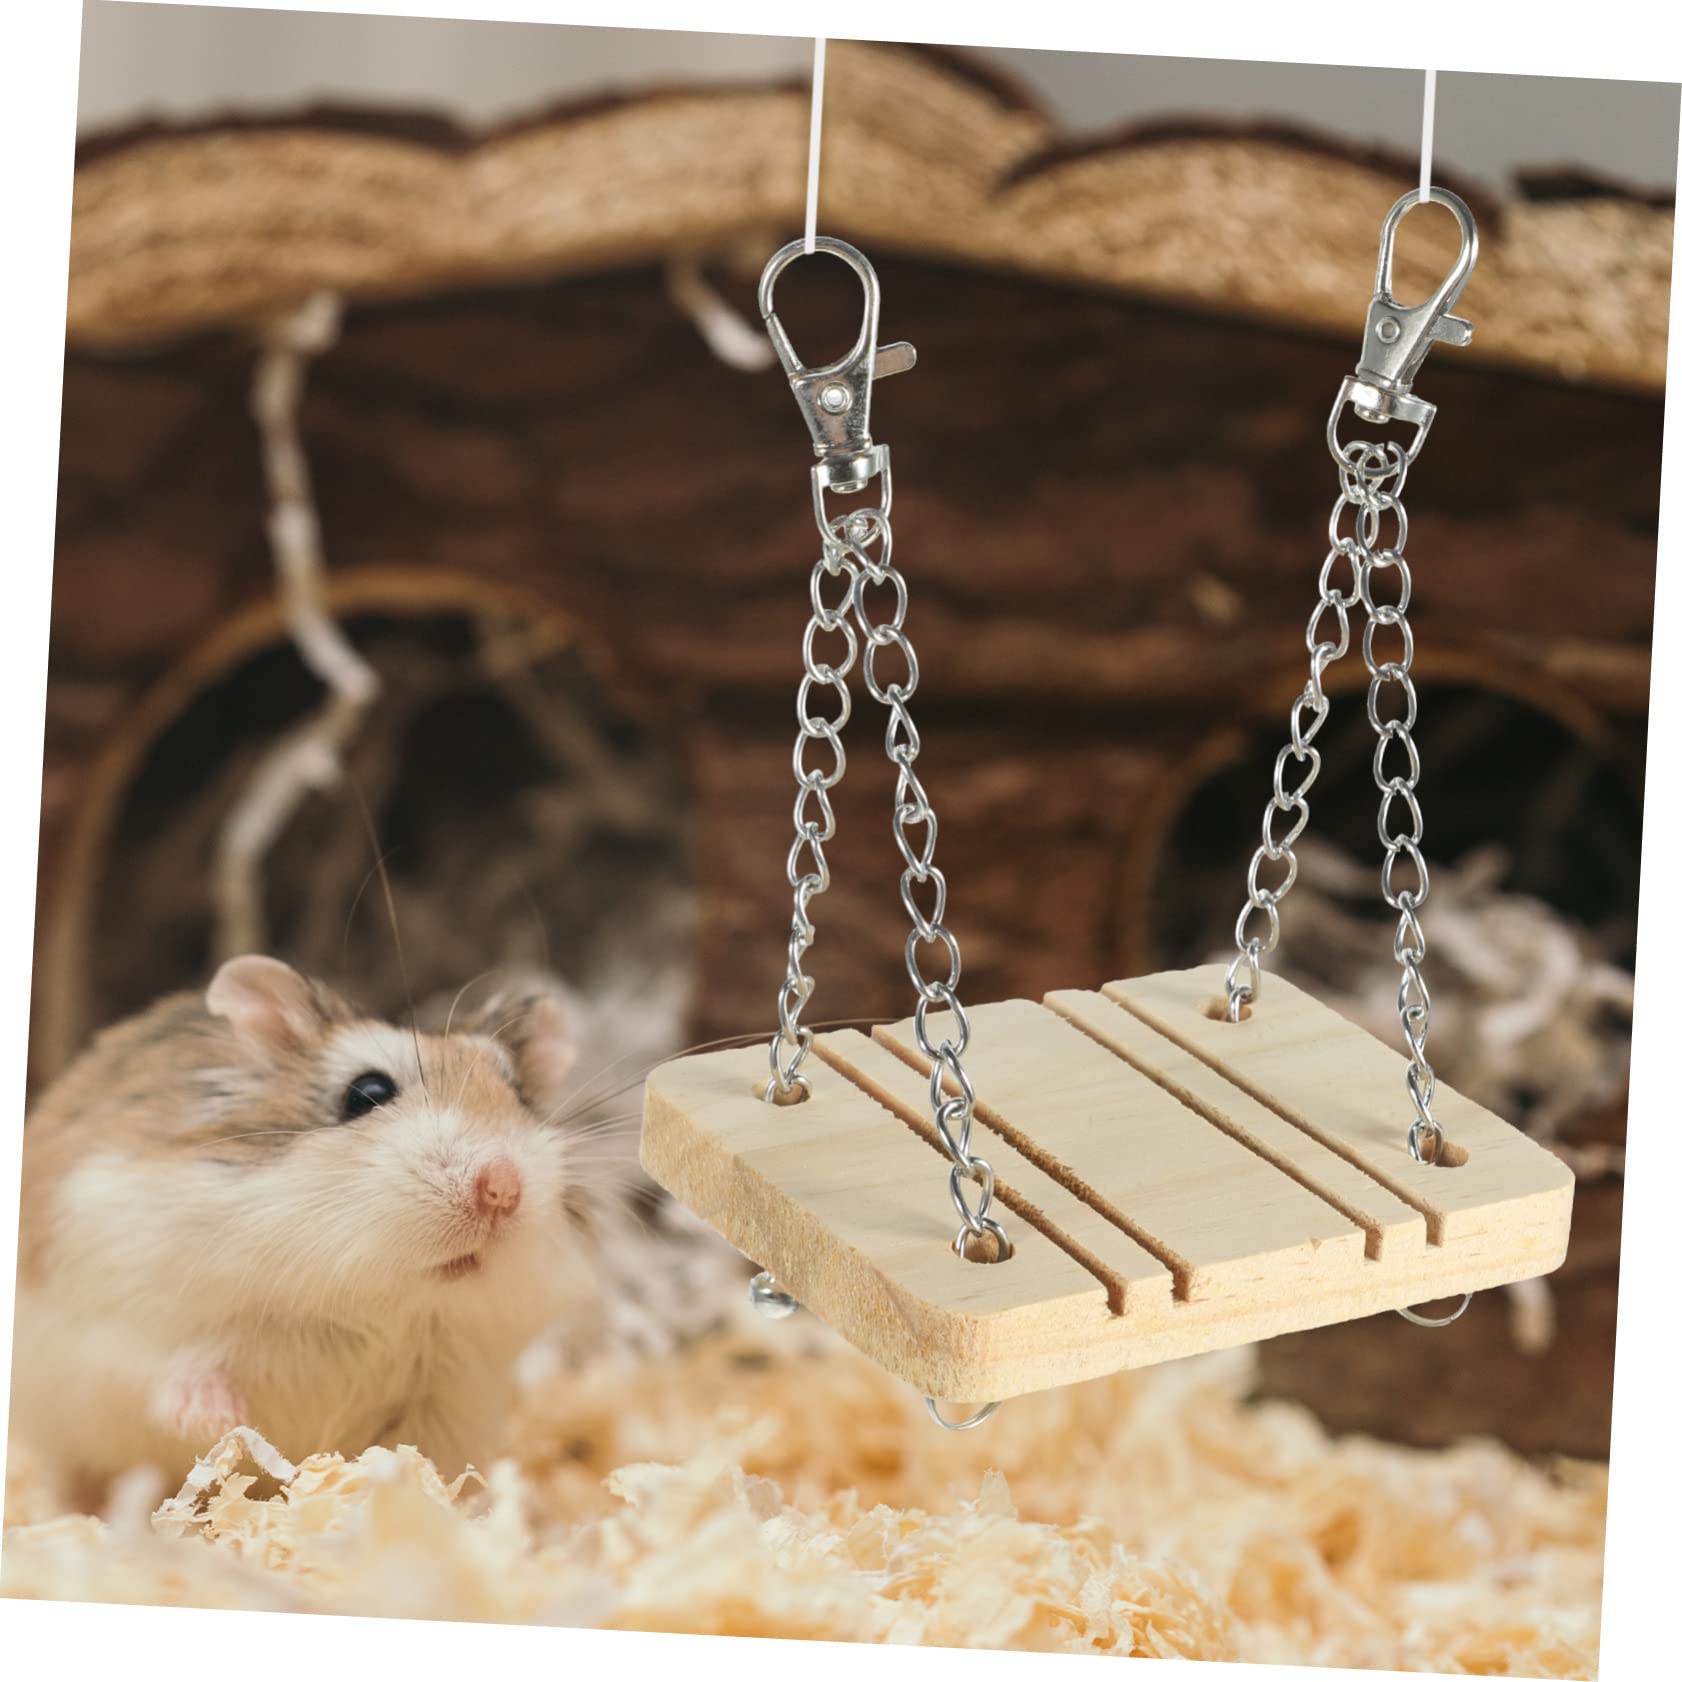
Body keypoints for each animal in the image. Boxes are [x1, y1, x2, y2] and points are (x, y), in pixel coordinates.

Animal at [10, 955, 606, 1508]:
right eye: (366, 1093)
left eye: (520, 1097)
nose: (502, 1188)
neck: (373, 1302)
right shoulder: (125, 1317)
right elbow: (172, 1370)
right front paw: (218, 1421)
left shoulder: (447, 1397)